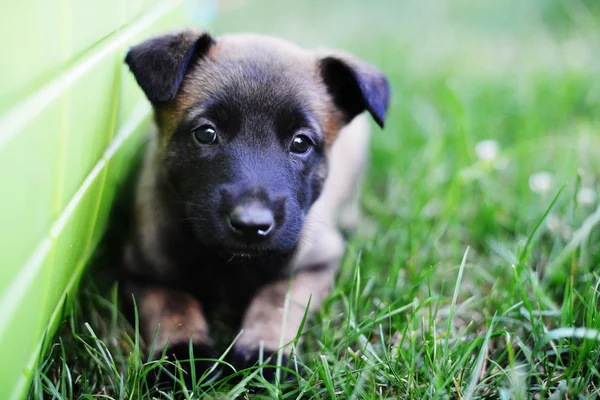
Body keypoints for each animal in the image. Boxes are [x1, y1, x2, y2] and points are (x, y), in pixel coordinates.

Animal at [122, 28, 390, 388]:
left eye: (301, 142)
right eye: (206, 133)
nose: (251, 225)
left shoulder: (315, 264)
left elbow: (276, 300)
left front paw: (264, 353)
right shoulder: (142, 272)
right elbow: (173, 307)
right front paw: (182, 359)